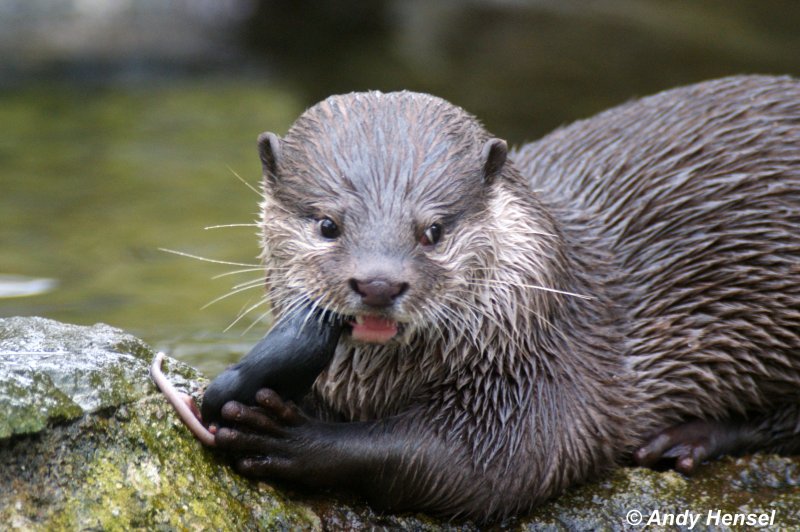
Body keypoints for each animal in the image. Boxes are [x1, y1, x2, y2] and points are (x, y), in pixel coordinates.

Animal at [158, 77, 800, 520]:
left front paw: (292, 437)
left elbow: (486, 465)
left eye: (433, 230)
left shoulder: (541, 375)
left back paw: (689, 439)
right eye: (327, 225)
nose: (378, 283)